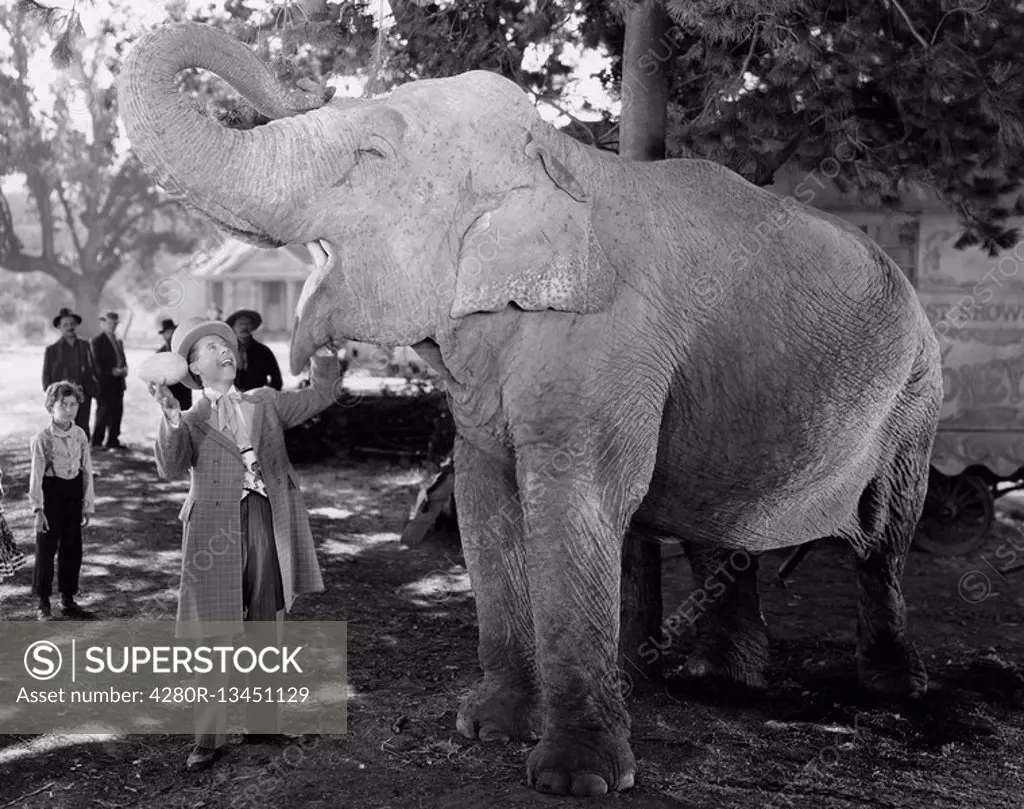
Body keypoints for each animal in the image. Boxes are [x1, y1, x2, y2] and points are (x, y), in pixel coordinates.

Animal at [117, 22, 942, 802]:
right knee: (720, 523)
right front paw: (486, 727)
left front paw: (577, 778)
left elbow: (576, 502)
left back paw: (893, 689)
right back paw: (721, 678)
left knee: (883, 536)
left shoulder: (612, 339)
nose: (303, 82)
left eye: (372, 152)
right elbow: (484, 497)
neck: (561, 156)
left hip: (916, 396)